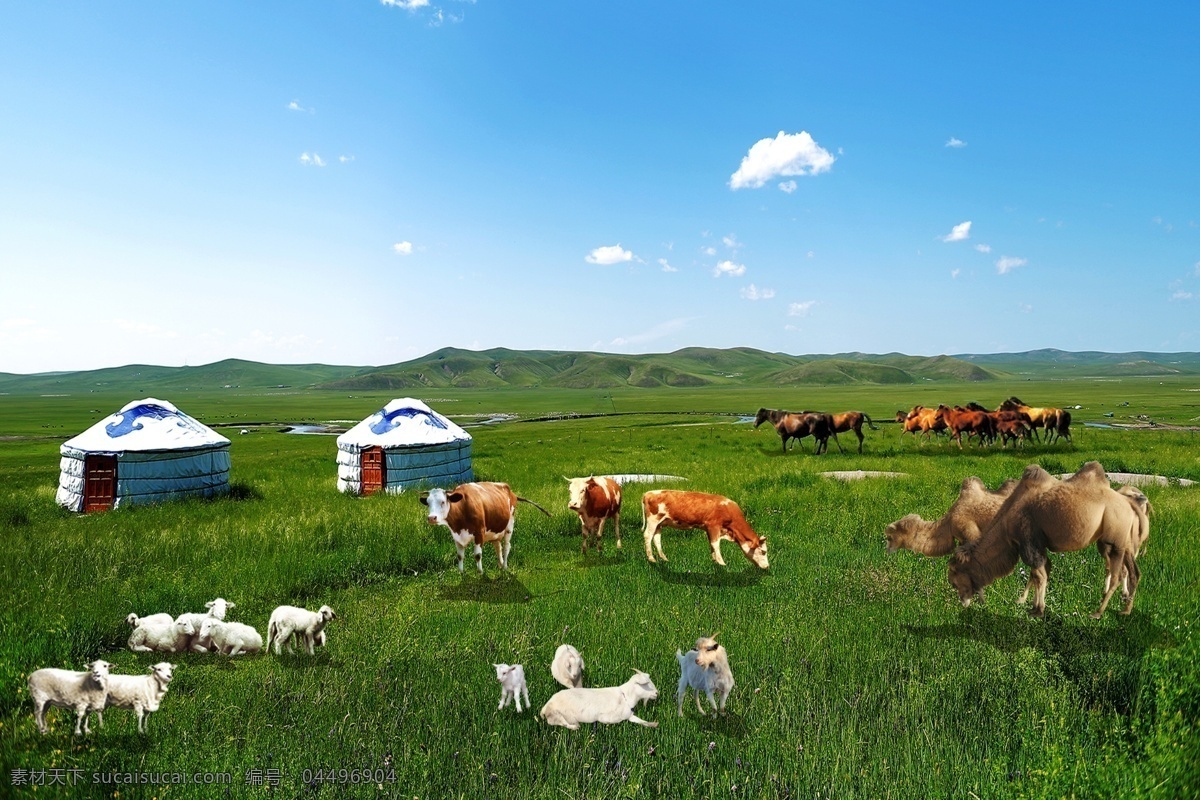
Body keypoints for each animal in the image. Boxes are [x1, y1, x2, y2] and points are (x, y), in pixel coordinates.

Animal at [420, 482, 549, 575]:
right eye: (428, 503)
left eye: (442, 502)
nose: (431, 518)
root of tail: (511, 491)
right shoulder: (456, 536)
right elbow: (460, 556)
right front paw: (461, 572)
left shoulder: (479, 533)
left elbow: (477, 555)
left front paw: (480, 572)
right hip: (495, 532)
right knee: (498, 547)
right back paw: (500, 564)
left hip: (509, 525)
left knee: (506, 546)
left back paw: (505, 566)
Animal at [638, 489, 768, 568]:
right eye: (763, 551)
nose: (767, 566)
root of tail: (649, 493)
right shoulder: (713, 526)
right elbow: (716, 544)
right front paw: (722, 563)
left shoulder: (709, 529)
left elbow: (711, 545)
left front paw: (715, 561)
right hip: (653, 520)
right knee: (648, 536)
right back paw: (651, 558)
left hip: (659, 523)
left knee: (656, 538)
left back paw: (664, 558)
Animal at [945, 462, 1142, 618]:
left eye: (954, 580)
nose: (963, 601)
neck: (1007, 523)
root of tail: (1132, 505)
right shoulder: (1036, 545)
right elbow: (1040, 572)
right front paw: (1027, 603)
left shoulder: (1028, 542)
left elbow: (1040, 575)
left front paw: (1038, 610)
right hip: (1123, 542)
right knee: (1133, 572)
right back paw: (1126, 609)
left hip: (1115, 538)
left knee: (1117, 574)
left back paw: (1098, 612)